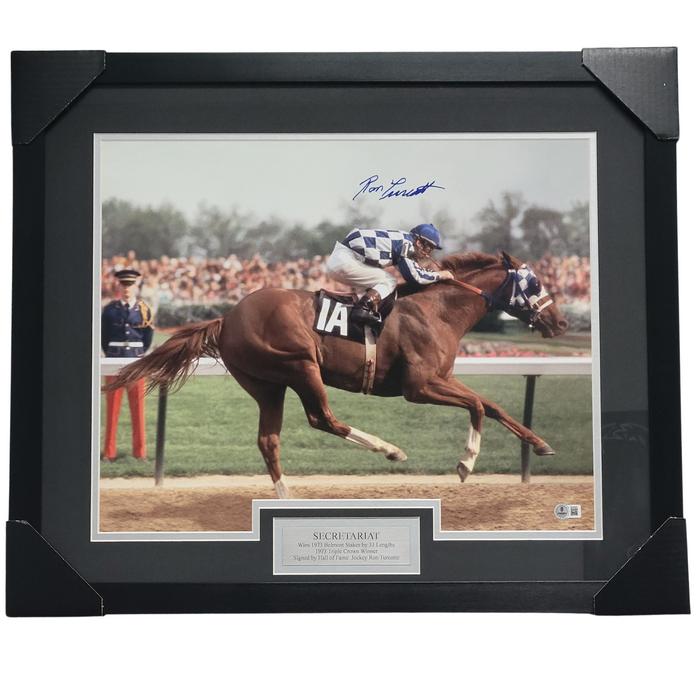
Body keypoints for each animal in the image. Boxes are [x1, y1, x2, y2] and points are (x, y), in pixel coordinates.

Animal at [105, 251, 569, 497]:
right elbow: (476, 405)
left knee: (268, 440)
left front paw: (541, 444)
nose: (561, 323)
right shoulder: (419, 386)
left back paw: (286, 497)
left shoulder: (443, 378)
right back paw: (390, 449)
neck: (436, 310)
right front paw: (466, 462)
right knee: (321, 418)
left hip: (267, 385)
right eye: (535, 283)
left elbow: (492, 405)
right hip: (300, 364)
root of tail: (227, 317)